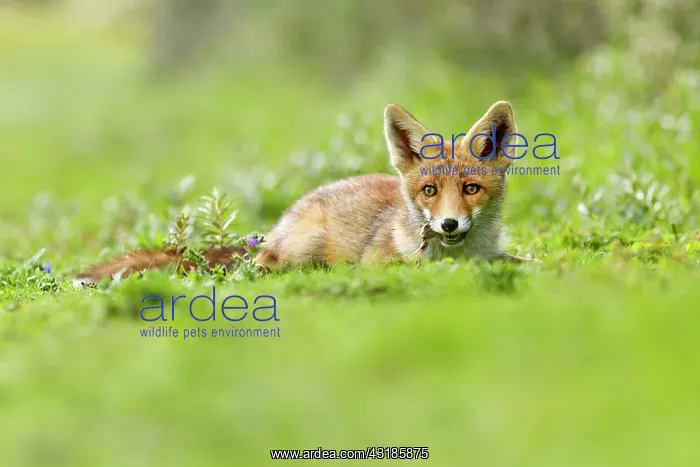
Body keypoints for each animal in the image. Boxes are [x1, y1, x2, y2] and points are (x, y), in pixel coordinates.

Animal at [77, 101, 534, 283]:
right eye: (429, 190)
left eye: (471, 189)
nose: (449, 223)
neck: (459, 255)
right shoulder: (379, 262)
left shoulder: (494, 254)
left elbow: (527, 262)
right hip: (303, 246)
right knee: (263, 268)